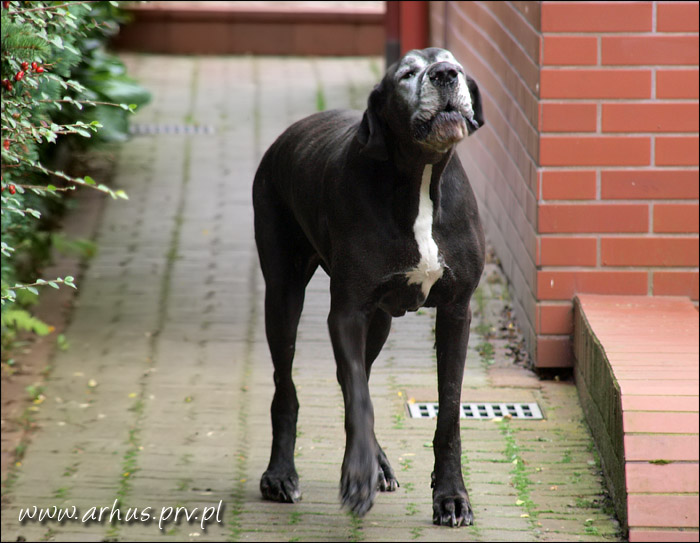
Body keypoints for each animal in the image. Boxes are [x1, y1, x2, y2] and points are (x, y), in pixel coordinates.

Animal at [252, 47, 485, 527]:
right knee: (290, 386)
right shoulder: (347, 312)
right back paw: (280, 474)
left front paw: (451, 496)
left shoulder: (457, 310)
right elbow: (359, 398)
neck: (421, 180)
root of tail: (289, 133)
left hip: (379, 322)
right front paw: (357, 473)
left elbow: (449, 411)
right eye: (407, 73)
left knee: (356, 374)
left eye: (454, 63)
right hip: (283, 295)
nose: (445, 74)